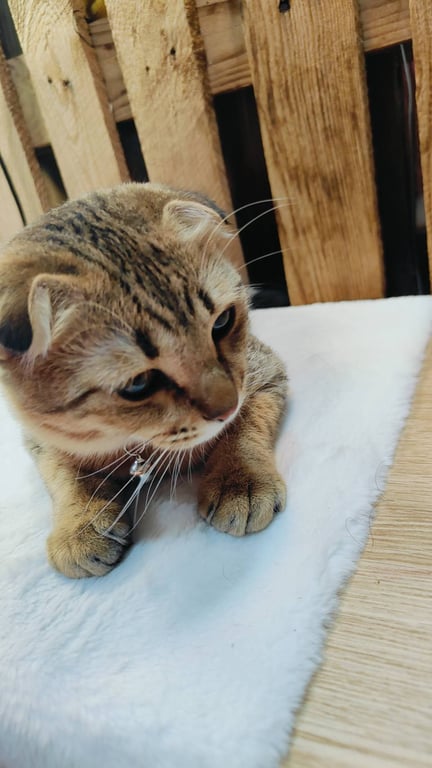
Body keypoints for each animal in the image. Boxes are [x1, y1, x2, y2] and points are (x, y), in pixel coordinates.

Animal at [0, 183, 287, 578]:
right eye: (138, 384)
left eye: (222, 322)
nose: (225, 406)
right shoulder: (38, 437)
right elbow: (61, 471)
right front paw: (78, 523)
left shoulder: (265, 372)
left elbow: (245, 423)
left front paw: (239, 479)